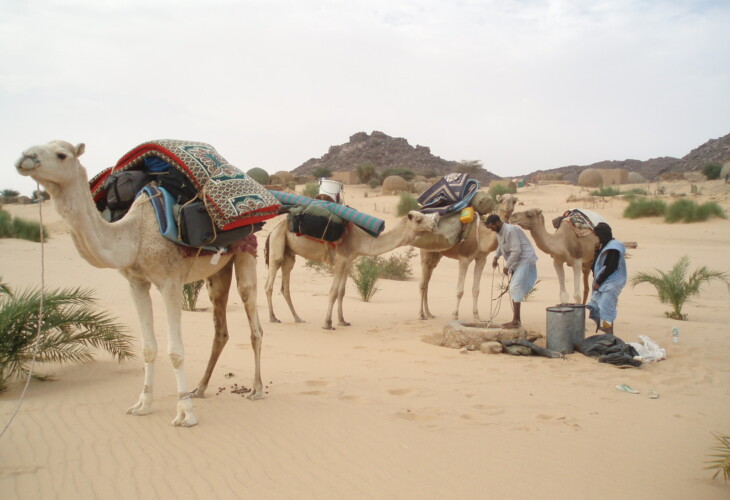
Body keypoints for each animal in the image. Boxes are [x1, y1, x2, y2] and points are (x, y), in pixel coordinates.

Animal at [16, 140, 264, 426]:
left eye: (61, 155)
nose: (24, 158)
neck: (134, 234)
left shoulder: (170, 282)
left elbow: (176, 351)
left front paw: (185, 413)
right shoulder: (136, 283)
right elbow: (148, 348)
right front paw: (143, 404)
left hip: (246, 250)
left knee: (254, 323)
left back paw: (256, 389)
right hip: (217, 271)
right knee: (220, 329)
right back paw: (200, 388)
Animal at [264, 210, 436, 330]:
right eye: (419, 219)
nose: (433, 225)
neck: (359, 239)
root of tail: (272, 230)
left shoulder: (348, 262)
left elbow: (341, 291)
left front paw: (342, 321)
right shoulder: (340, 260)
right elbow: (333, 292)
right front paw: (328, 323)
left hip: (289, 253)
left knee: (285, 286)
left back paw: (298, 318)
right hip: (277, 244)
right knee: (269, 283)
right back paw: (273, 318)